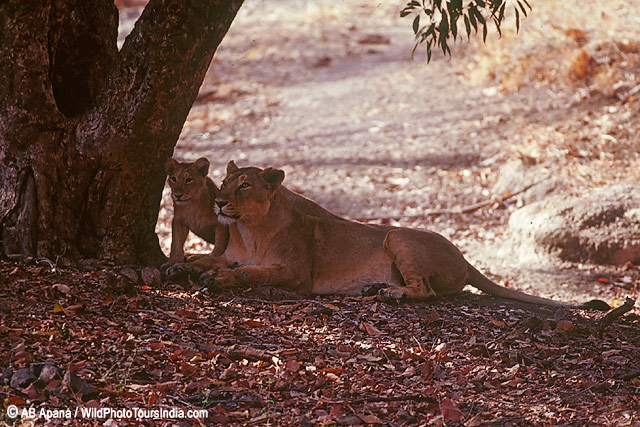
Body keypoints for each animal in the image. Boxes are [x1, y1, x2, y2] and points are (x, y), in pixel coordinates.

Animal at [175, 161, 610, 311]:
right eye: (224, 183)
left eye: (245, 186)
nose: (218, 203)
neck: (250, 230)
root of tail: (465, 257)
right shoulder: (230, 249)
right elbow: (208, 258)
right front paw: (183, 267)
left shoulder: (297, 275)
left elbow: (250, 272)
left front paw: (219, 278)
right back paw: (375, 288)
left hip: (398, 236)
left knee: (428, 291)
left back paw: (391, 293)